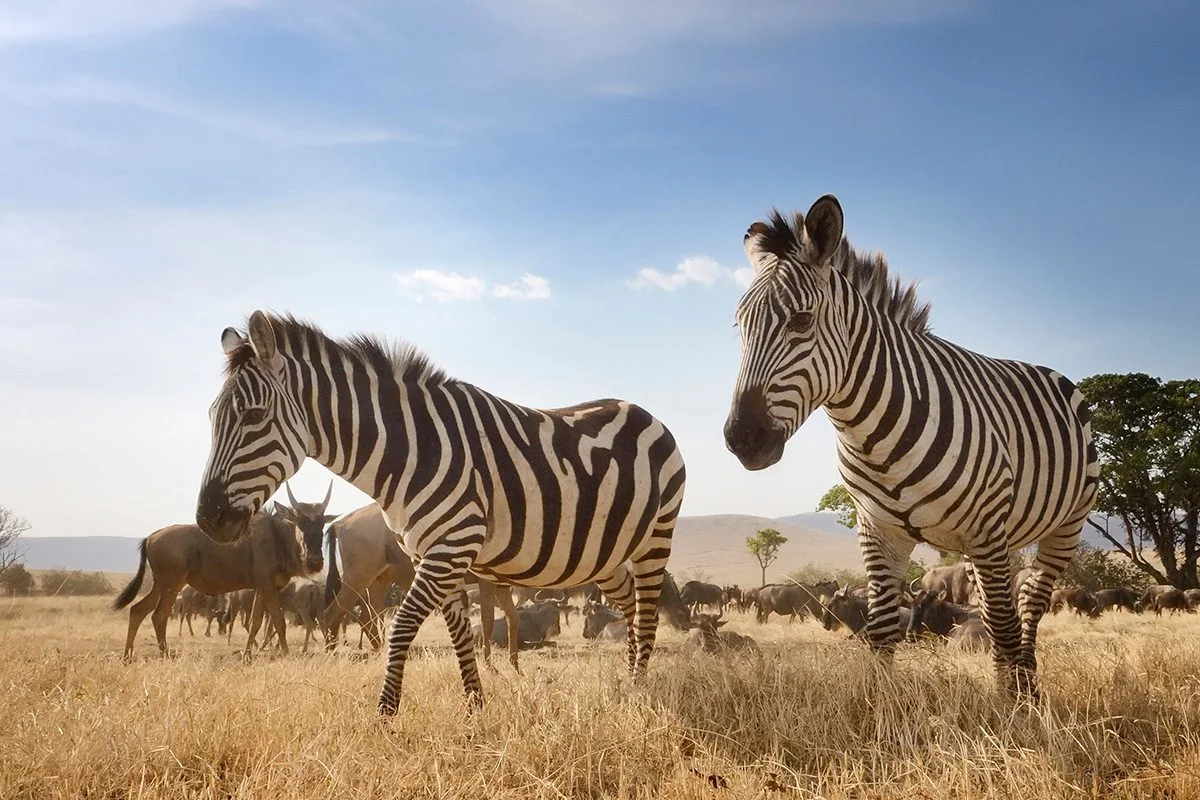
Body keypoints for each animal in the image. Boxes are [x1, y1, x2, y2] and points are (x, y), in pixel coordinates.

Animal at [195, 312, 686, 715]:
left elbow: (402, 627)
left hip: (655, 538)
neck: (412, 452)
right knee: (628, 602)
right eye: (212, 416)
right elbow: (459, 634)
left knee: (646, 612)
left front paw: (385, 717)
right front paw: (475, 709)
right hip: (605, 552)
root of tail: (645, 413)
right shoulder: (431, 554)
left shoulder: (451, 548)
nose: (207, 520)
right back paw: (628, 681)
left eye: (253, 416)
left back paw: (639, 692)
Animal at [723, 194, 1099, 700]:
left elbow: (1000, 625)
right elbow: (882, 630)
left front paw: (1012, 709)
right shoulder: (879, 530)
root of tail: (1049, 370)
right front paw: (881, 706)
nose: (741, 439)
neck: (870, 432)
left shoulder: (987, 527)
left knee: (1027, 602)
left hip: (1063, 525)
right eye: (739, 326)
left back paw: (1027, 685)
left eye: (801, 320)